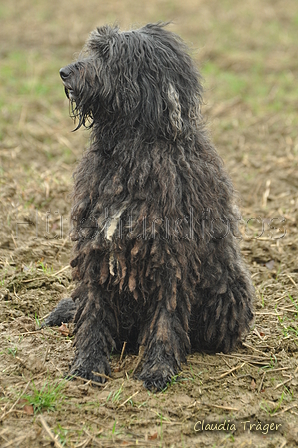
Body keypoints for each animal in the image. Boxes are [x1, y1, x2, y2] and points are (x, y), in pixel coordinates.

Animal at [46, 22, 254, 390]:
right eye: (94, 48)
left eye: (109, 54)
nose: (65, 72)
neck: (130, 153)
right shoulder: (96, 249)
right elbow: (94, 312)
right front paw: (88, 364)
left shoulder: (172, 257)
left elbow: (166, 319)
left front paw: (157, 369)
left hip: (227, 290)